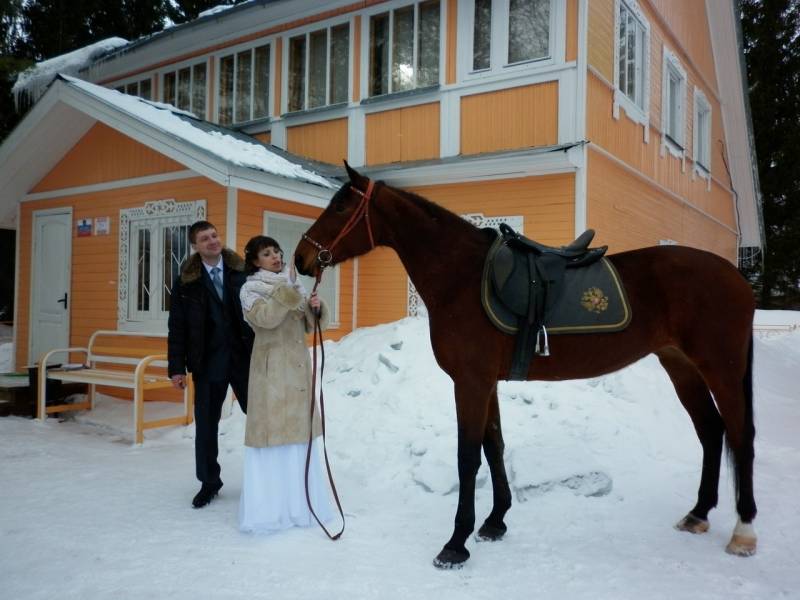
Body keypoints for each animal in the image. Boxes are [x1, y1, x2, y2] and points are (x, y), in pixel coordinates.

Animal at [294, 163, 757, 569]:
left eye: (340, 206)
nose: (301, 258)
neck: (461, 279)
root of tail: (736, 277)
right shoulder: (487, 383)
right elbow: (494, 445)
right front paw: (495, 522)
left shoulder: (470, 382)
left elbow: (468, 456)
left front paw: (455, 542)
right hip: (681, 366)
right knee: (711, 431)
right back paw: (698, 513)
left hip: (721, 367)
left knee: (740, 435)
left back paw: (744, 531)